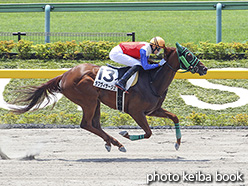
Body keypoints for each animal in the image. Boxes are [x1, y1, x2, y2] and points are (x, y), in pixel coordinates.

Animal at [11, 43, 207, 153]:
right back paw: (118, 143)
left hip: (95, 101)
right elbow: (149, 133)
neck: (153, 80)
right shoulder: (136, 112)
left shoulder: (153, 110)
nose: (204, 69)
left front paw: (178, 144)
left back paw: (112, 143)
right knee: (86, 124)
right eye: (189, 54)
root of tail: (65, 75)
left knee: (94, 124)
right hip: (88, 101)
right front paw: (126, 134)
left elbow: (175, 117)